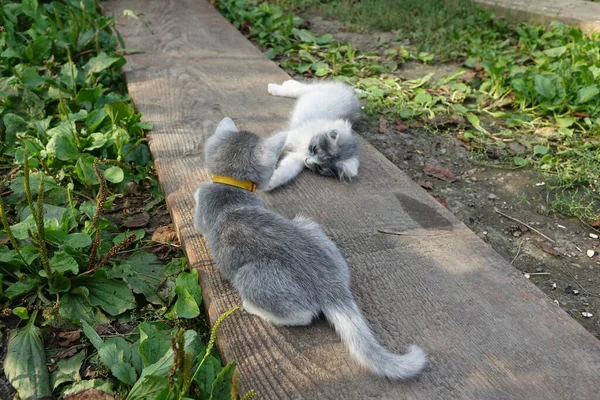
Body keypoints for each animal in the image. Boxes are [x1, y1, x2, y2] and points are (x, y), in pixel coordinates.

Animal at [196, 117, 426, 380]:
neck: (232, 188)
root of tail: (332, 287)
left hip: (250, 275)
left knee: (302, 316)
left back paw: (252, 307)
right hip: (308, 225)